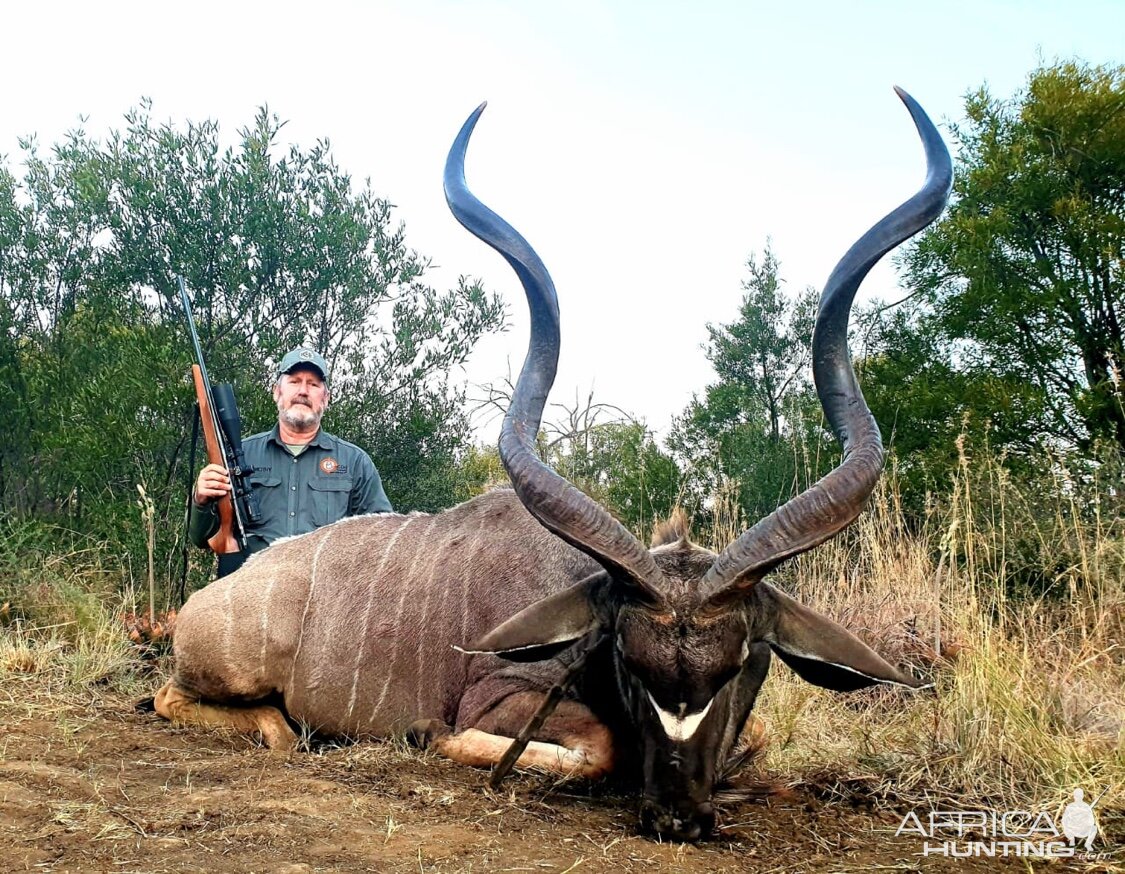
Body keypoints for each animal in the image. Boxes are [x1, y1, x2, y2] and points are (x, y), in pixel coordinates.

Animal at [156, 88, 949, 836]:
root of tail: (218, 596)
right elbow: (591, 750)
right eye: (628, 661)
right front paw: (427, 737)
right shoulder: (499, 697)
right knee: (180, 699)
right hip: (226, 672)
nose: (676, 816)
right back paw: (289, 728)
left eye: (738, 665)